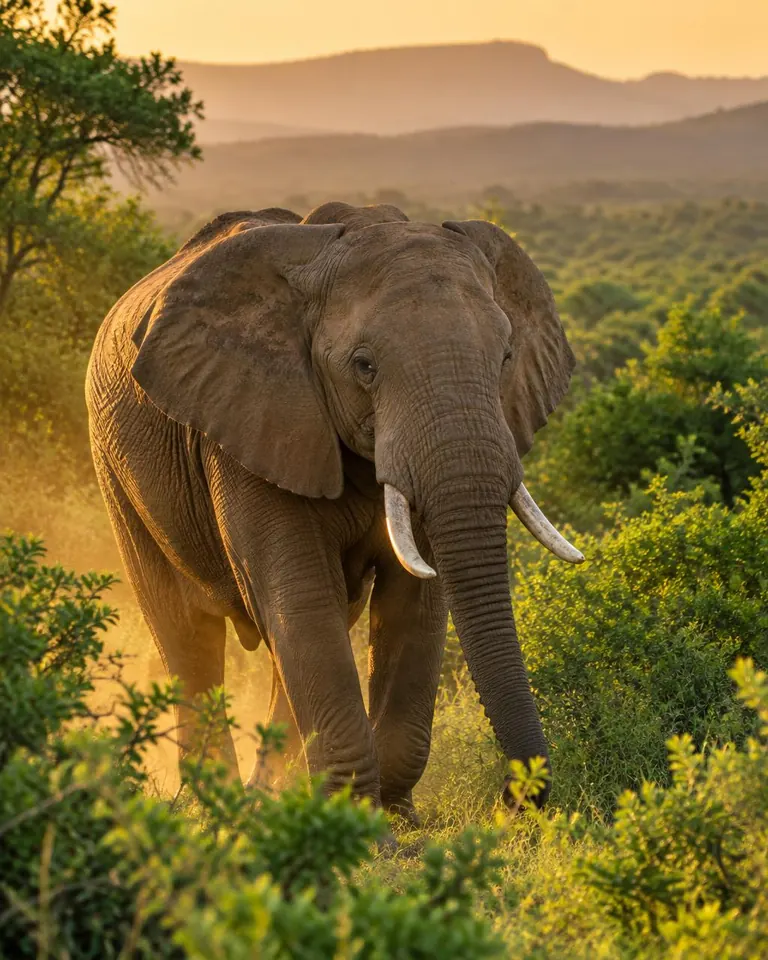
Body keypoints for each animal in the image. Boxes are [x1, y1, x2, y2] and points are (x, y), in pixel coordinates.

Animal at [86, 200, 583, 819]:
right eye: (364, 366)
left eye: (507, 356)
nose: (517, 801)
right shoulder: (253, 419)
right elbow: (300, 595)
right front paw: (357, 821)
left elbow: (415, 600)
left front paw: (394, 817)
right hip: (112, 465)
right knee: (186, 632)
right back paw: (213, 804)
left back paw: (266, 794)